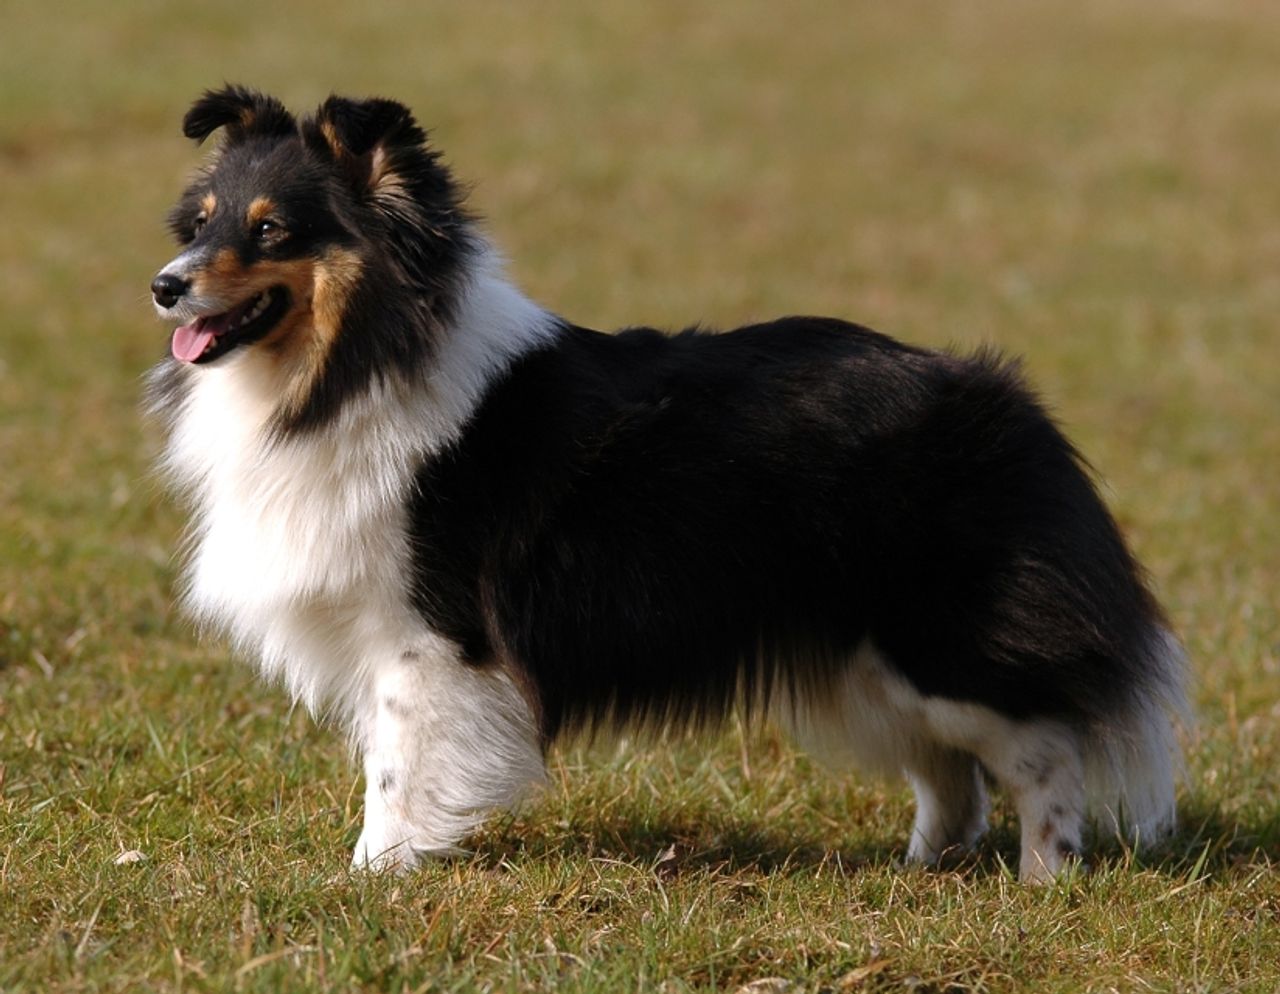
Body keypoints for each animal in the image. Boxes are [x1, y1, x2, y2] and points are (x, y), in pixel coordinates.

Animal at [152, 83, 1187, 875]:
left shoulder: (428, 638)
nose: (164, 284)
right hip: (862, 659)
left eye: (272, 229)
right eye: (198, 224)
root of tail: (1011, 400)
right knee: (951, 777)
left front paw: (373, 876)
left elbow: (397, 770)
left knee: (1044, 748)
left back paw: (1046, 875)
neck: (348, 368)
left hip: (934, 645)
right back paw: (921, 871)